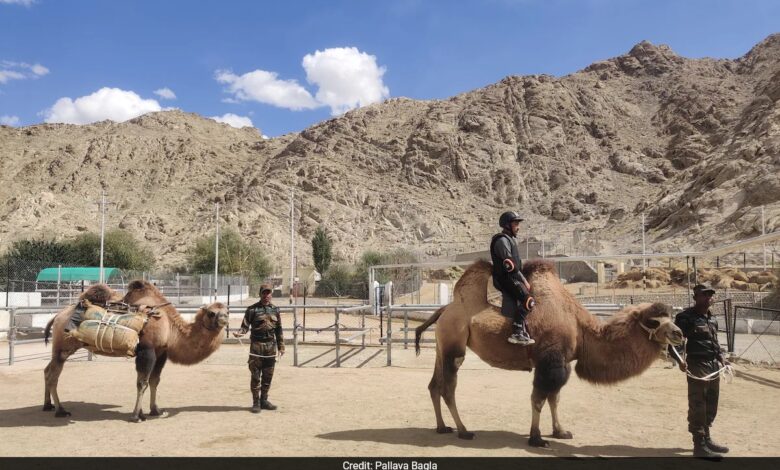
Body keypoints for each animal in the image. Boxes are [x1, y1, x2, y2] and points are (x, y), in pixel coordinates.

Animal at [42, 280, 229, 422]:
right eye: (211, 313)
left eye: (226, 310)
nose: (224, 319)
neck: (169, 327)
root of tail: (57, 316)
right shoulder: (147, 350)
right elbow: (142, 382)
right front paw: (136, 416)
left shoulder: (161, 352)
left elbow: (154, 381)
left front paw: (155, 410)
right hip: (63, 347)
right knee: (53, 375)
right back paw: (60, 410)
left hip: (60, 348)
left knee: (47, 370)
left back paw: (47, 405)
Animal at [414, 260, 684, 448]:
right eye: (653, 321)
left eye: (670, 317)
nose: (680, 334)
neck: (581, 330)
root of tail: (444, 310)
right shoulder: (550, 361)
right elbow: (539, 398)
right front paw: (536, 438)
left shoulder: (561, 362)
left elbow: (555, 398)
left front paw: (560, 431)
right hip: (454, 346)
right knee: (448, 388)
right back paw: (463, 430)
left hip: (442, 346)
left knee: (434, 385)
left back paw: (442, 427)